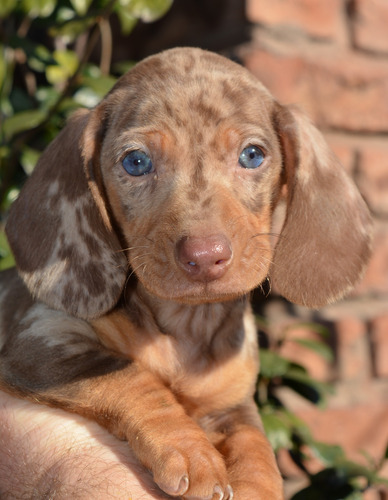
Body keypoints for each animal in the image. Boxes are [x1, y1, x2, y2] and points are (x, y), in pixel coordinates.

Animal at [0, 47, 372, 500]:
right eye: (136, 162)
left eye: (252, 155)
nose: (205, 257)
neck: (187, 327)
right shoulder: (42, 340)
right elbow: (130, 377)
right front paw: (189, 449)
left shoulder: (233, 404)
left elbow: (254, 442)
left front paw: (258, 484)